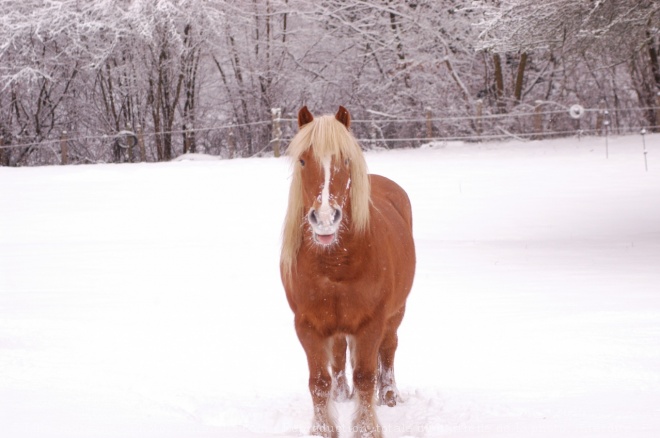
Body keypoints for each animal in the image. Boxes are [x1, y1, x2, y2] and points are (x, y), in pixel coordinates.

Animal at [280, 104, 416, 436]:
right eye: (303, 160)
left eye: (344, 160)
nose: (325, 218)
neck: (334, 265)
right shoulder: (308, 325)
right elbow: (319, 381)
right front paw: (322, 429)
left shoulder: (370, 324)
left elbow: (366, 377)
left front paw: (366, 428)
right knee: (340, 355)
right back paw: (341, 393)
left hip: (396, 312)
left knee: (389, 348)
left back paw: (389, 394)